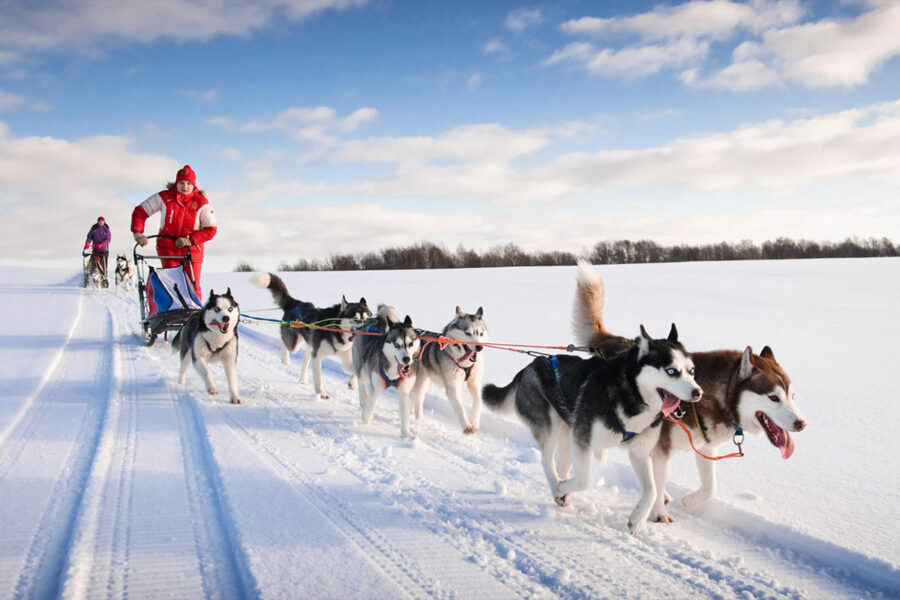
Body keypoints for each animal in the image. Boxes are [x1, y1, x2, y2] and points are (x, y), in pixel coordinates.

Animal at [352, 308, 422, 438]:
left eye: (410, 343)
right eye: (397, 344)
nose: (406, 359)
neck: (393, 374)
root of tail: (372, 321)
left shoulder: (405, 393)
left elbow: (405, 416)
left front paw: (406, 435)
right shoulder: (376, 387)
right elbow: (369, 407)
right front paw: (364, 423)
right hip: (361, 367)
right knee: (361, 382)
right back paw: (363, 399)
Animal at [486, 324, 704, 536]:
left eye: (692, 371)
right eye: (672, 371)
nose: (698, 392)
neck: (632, 395)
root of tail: (529, 366)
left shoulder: (639, 452)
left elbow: (652, 490)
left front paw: (638, 520)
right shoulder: (582, 440)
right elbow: (584, 480)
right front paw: (562, 487)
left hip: (567, 433)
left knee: (562, 464)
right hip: (550, 427)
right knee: (547, 461)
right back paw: (558, 487)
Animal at [568, 260, 808, 524]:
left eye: (792, 397)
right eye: (774, 398)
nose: (801, 424)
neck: (718, 398)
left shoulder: (706, 448)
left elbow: (709, 487)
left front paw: (689, 501)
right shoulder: (660, 451)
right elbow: (658, 483)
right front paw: (658, 514)